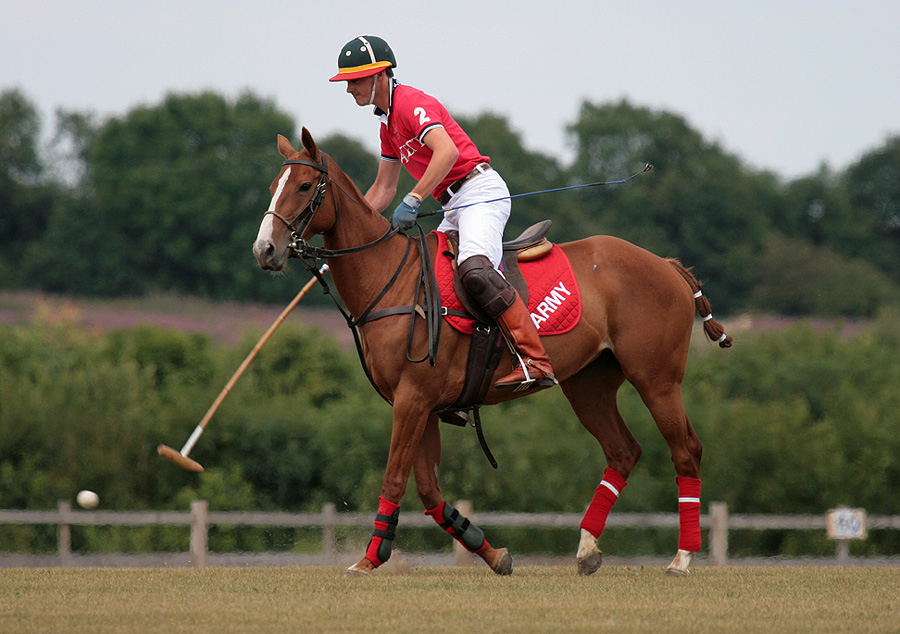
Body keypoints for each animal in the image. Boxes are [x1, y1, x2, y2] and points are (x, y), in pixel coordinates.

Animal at [251, 127, 732, 572]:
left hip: (656, 378)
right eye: (274, 183)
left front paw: (369, 560)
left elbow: (394, 480)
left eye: (305, 186)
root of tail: (667, 264)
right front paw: (493, 553)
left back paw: (682, 558)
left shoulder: (412, 398)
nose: (265, 250)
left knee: (686, 450)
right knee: (623, 451)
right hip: (588, 384)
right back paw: (587, 549)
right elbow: (428, 490)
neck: (390, 277)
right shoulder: (423, 405)